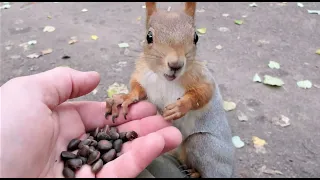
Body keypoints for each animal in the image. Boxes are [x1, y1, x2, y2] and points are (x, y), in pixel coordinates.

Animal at [105, 2, 235, 178]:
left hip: (205, 145)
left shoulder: (201, 77)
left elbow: (204, 93)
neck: (163, 79)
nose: (175, 65)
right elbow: (138, 89)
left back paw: (194, 173)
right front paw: (125, 98)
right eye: (149, 36)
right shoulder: (142, 74)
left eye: (196, 37)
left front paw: (179, 107)